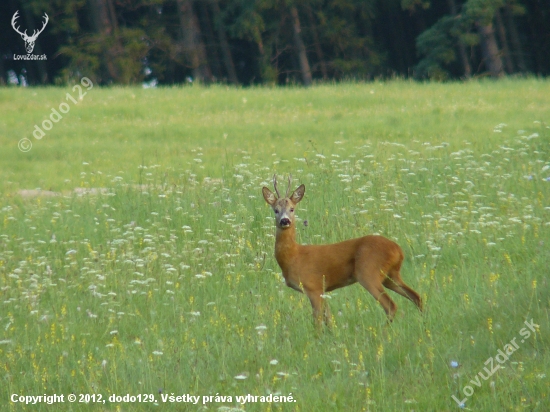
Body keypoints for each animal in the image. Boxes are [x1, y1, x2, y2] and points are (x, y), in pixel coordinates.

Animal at [264, 174, 422, 326]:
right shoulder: (322, 291)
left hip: (368, 273)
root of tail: (398, 249)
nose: (285, 221)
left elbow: (318, 322)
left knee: (391, 305)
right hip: (391, 275)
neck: (293, 256)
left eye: (292, 209)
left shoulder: (313, 287)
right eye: (276, 210)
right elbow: (329, 320)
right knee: (416, 296)